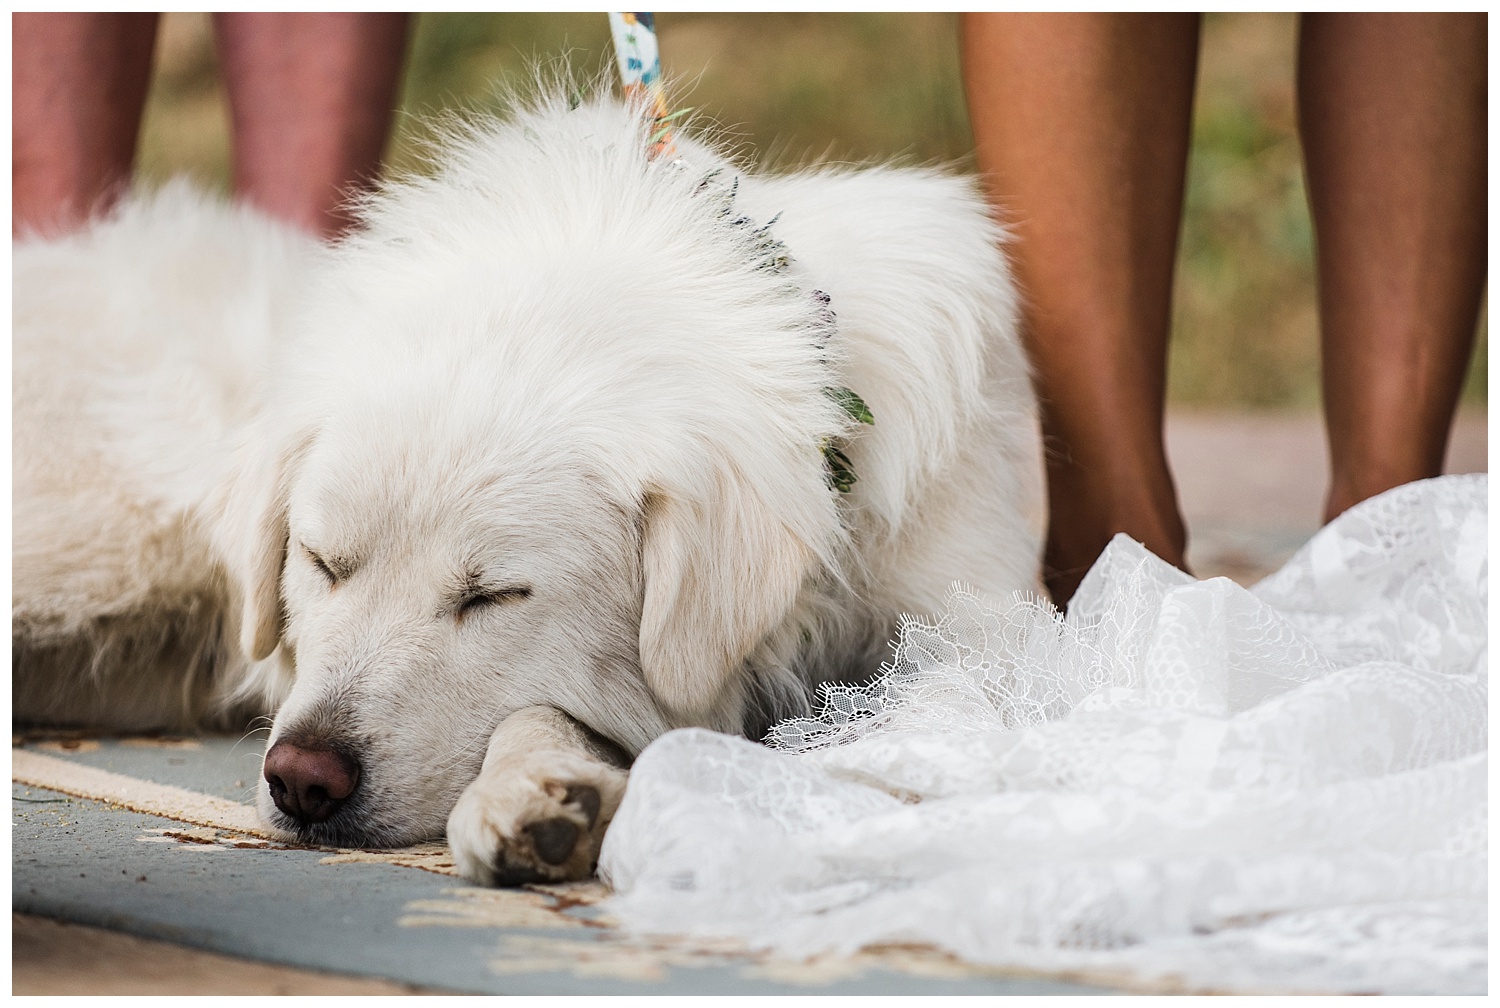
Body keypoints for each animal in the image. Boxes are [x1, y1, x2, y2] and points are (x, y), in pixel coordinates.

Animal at [14, 90, 1044, 888]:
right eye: (323, 564)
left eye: (495, 596)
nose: (304, 781)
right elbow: (552, 708)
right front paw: (545, 789)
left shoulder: (980, 623)